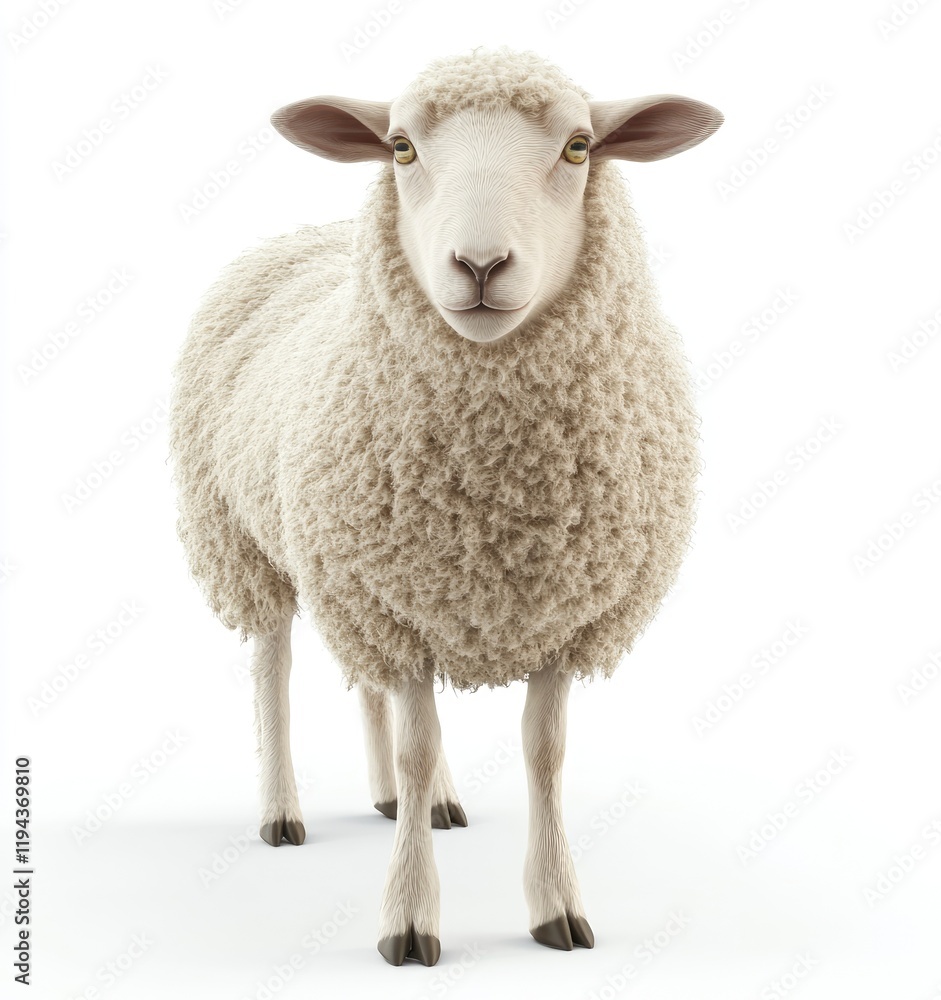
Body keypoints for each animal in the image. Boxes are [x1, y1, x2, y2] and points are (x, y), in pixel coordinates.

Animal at [169, 47, 722, 967]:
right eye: (399, 146)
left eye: (578, 146)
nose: (480, 265)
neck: (496, 484)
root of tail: (295, 237)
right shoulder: (392, 606)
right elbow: (417, 744)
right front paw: (408, 919)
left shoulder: (557, 614)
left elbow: (543, 754)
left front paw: (555, 907)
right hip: (245, 541)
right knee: (274, 667)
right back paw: (282, 811)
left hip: (345, 566)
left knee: (367, 690)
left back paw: (413, 803)